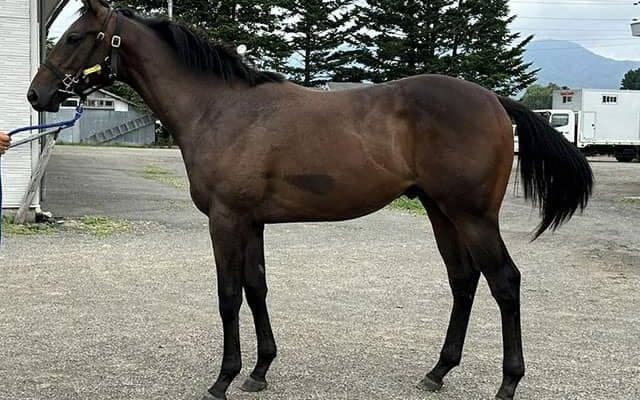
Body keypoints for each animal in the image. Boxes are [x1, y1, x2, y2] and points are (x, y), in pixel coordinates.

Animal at [27, 1, 593, 399]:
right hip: (441, 212)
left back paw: (508, 382)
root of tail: (493, 99)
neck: (220, 109)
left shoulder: (226, 221)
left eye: (75, 37)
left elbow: (228, 295)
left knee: (505, 282)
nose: (37, 95)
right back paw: (437, 371)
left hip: (473, 215)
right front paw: (259, 371)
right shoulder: (251, 222)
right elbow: (256, 289)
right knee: (463, 280)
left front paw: (223, 379)